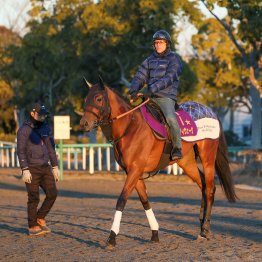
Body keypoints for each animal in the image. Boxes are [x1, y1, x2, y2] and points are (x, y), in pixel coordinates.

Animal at [79, 78, 236, 248]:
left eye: (98, 99)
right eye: (85, 99)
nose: (84, 123)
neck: (130, 127)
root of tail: (211, 112)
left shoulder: (135, 170)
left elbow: (121, 200)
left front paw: (112, 237)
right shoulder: (133, 172)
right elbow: (145, 201)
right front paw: (155, 233)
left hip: (207, 156)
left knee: (210, 189)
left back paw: (205, 230)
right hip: (186, 162)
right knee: (203, 185)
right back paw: (201, 225)